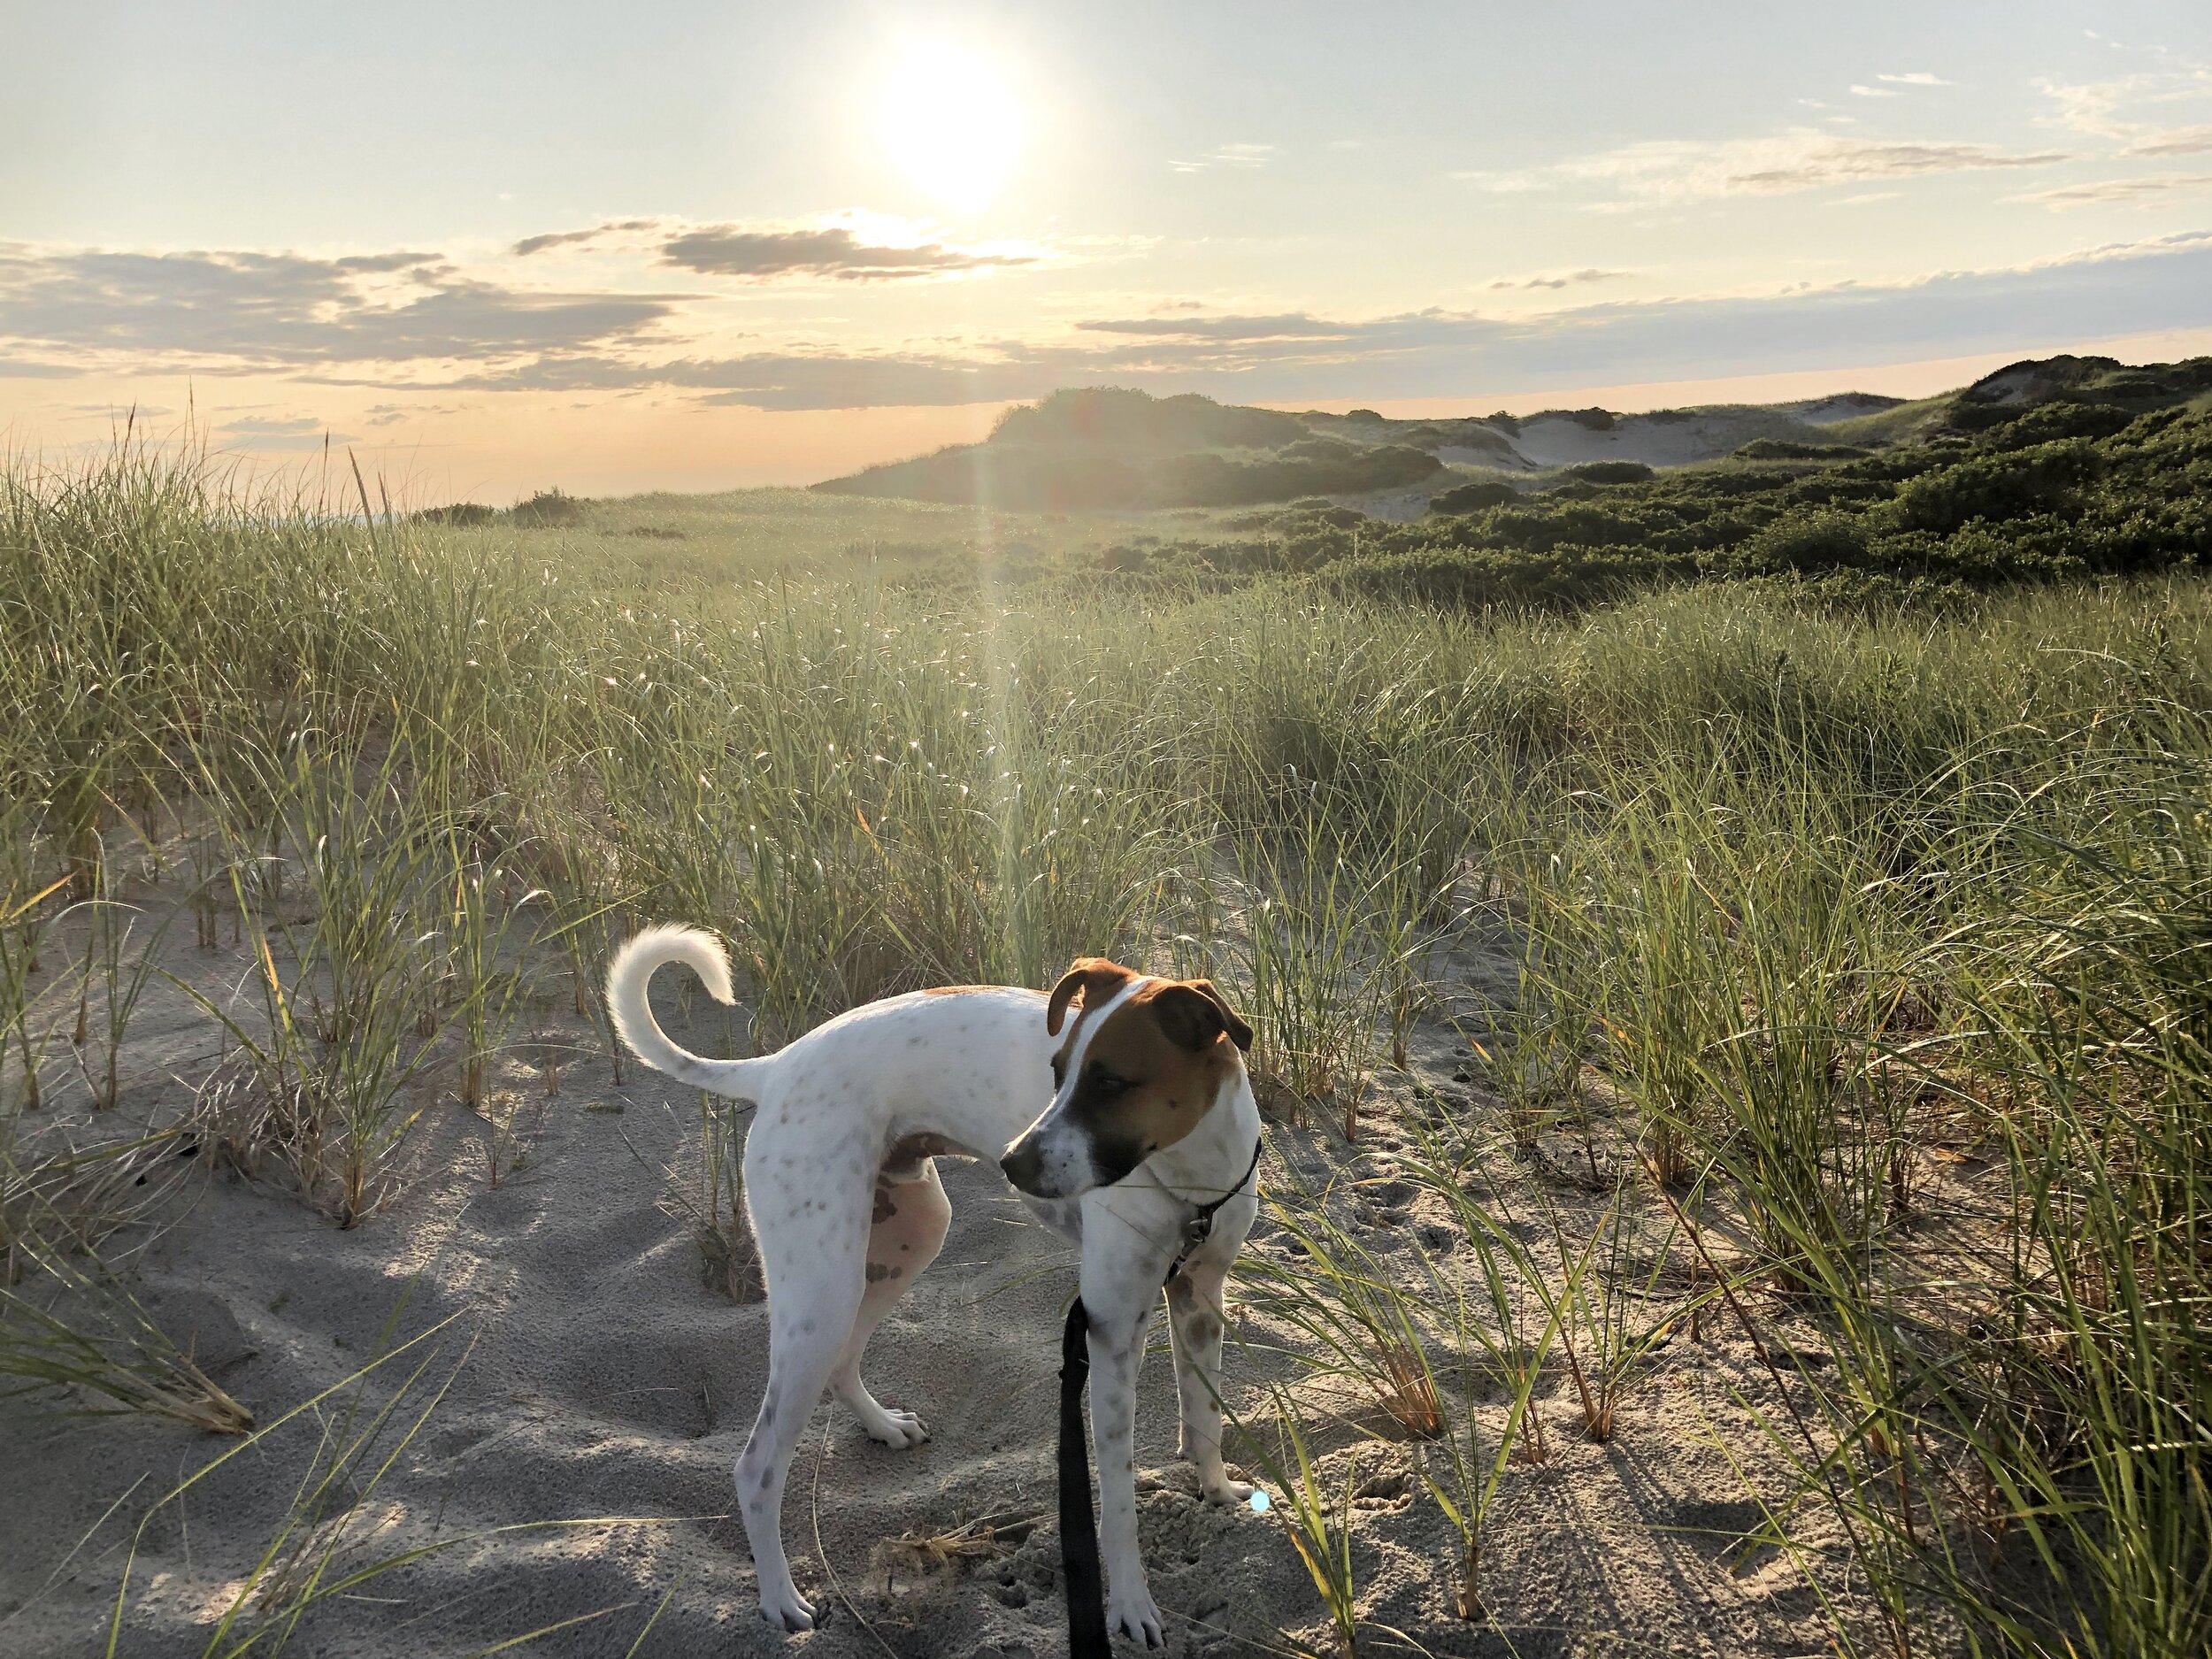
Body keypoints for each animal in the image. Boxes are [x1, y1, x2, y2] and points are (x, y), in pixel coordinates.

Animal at [606, 925, 1265, 1655]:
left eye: (1112, 1082)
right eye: (1057, 1072)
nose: (1012, 1162)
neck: (1188, 1176)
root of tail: (777, 1065)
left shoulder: (1202, 1300)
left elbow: (1204, 1417)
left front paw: (1217, 1493)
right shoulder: (1113, 1330)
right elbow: (1118, 1499)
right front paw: (1129, 1603)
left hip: (909, 1238)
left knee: (843, 1362)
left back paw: (882, 1426)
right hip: (823, 1287)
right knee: (756, 1468)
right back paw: (780, 1597)